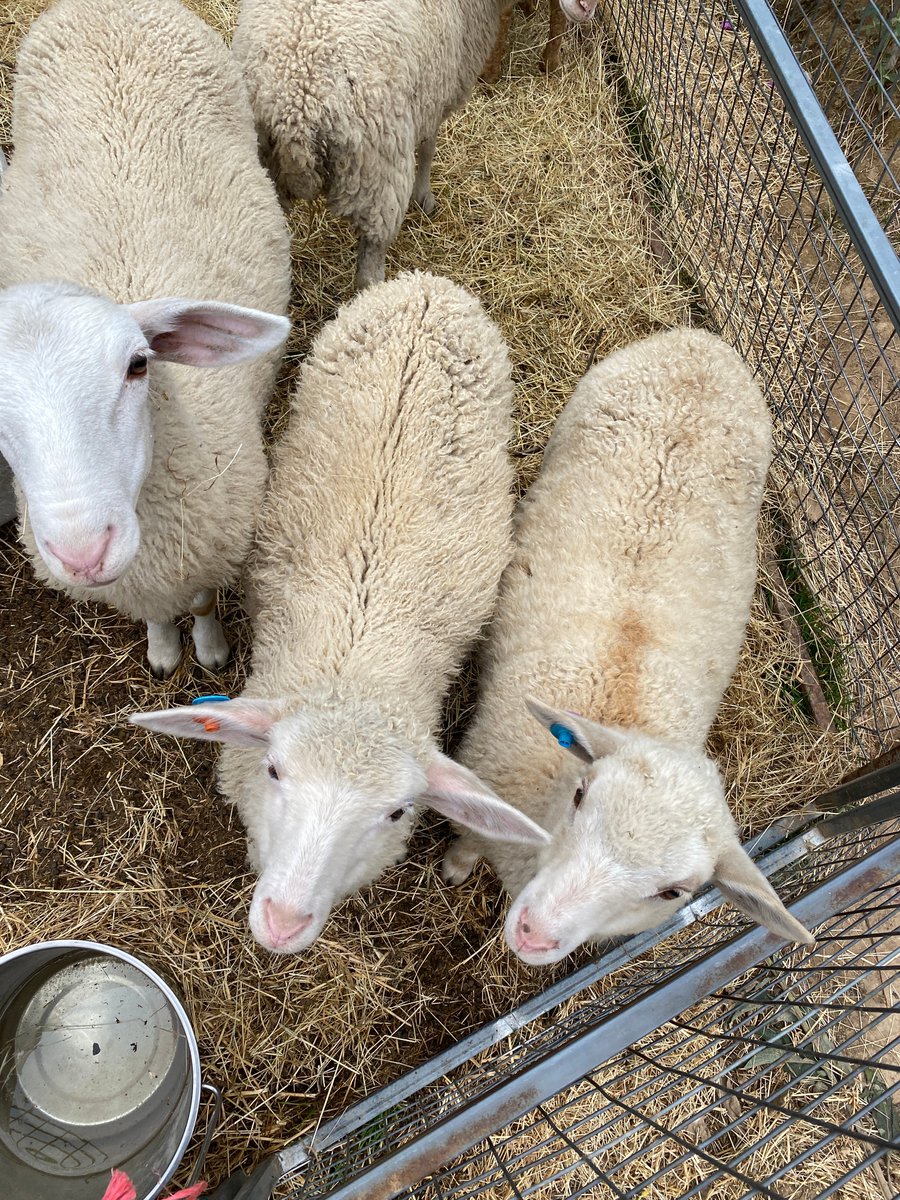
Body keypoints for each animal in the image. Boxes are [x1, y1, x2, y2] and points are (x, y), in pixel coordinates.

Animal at [0, 0, 291, 676]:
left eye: (139, 364)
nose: (84, 553)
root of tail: (103, 5)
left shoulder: (210, 542)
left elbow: (205, 602)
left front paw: (210, 650)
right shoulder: (146, 580)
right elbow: (156, 616)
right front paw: (163, 651)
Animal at [231, 0, 516, 292]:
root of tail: (296, 110)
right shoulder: (436, 93)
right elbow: (428, 147)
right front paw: (424, 197)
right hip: (378, 181)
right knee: (369, 271)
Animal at [440, 327, 815, 965]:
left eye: (672, 892)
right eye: (581, 797)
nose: (534, 933)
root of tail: (701, 343)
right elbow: (466, 841)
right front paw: (453, 870)